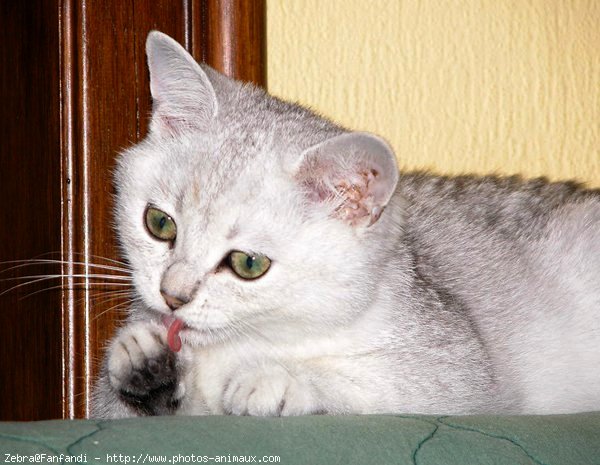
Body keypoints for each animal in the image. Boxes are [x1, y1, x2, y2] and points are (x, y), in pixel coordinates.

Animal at [90, 31, 600, 416]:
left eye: (248, 264)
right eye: (159, 223)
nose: (172, 296)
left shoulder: (463, 370)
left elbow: (377, 384)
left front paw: (275, 379)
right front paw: (145, 362)